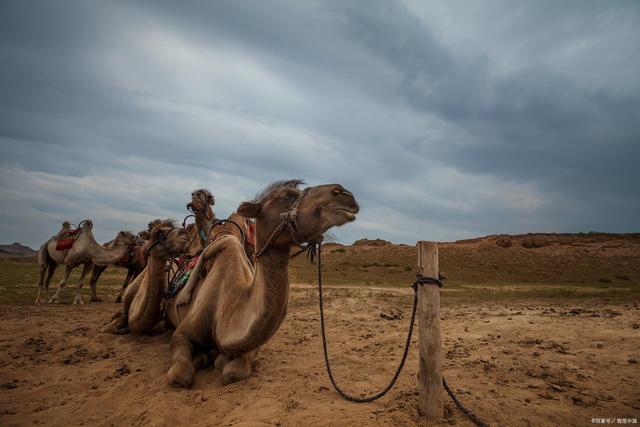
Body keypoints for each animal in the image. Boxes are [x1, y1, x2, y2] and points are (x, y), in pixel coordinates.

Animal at [113, 180, 360, 388]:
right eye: (287, 196)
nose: (344, 194)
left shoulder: (250, 347)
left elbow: (233, 372)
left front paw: (218, 359)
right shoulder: (183, 334)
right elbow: (180, 375)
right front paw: (202, 358)